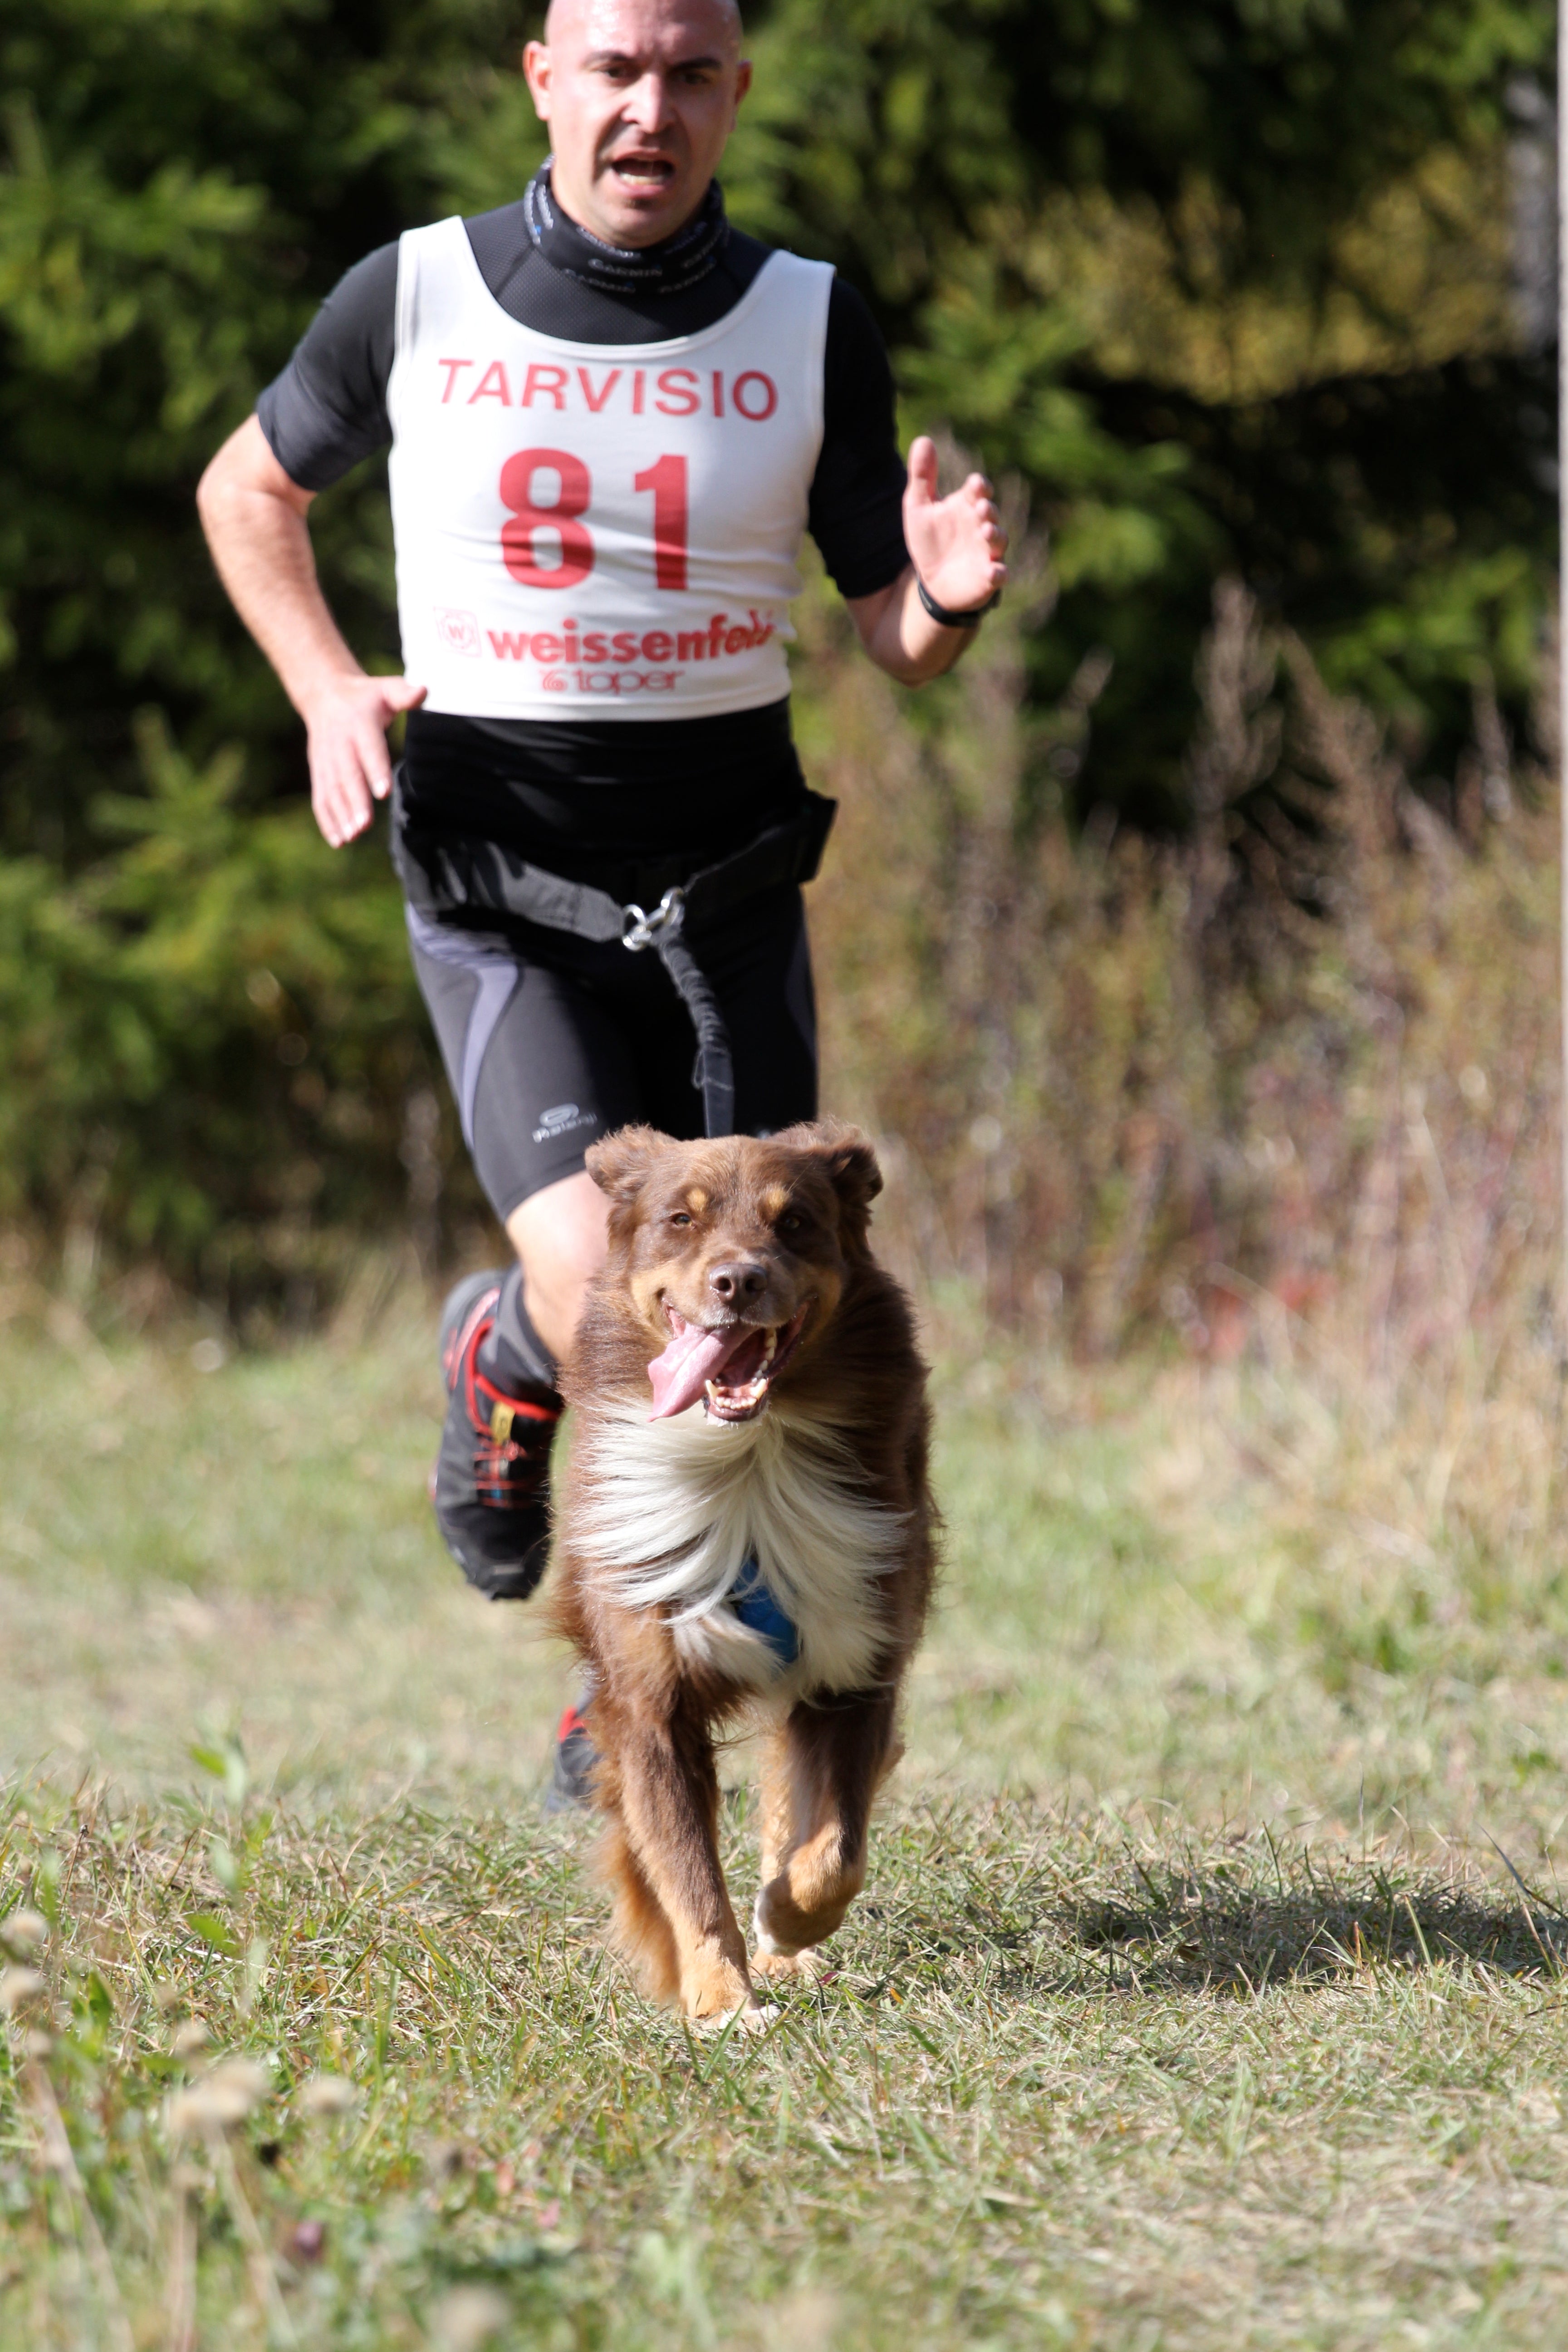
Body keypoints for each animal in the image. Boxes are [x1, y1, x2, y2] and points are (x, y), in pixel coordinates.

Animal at [557, 1119, 940, 2023]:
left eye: (794, 1222)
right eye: (681, 1219)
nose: (738, 1281)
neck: (747, 1464)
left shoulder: (855, 1665)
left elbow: (836, 1844)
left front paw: (788, 1921)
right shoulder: (649, 1703)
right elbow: (686, 1870)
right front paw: (719, 1997)